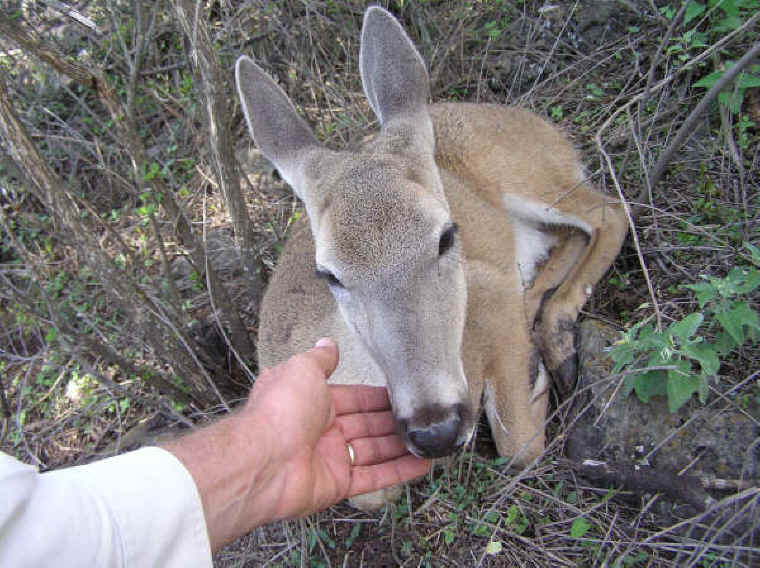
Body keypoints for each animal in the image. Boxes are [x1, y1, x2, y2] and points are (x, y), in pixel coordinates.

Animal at [235, 6, 627, 510]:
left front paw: (531, 383)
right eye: (330, 274)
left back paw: (555, 346)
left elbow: (518, 444)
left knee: (609, 212)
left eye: (445, 236)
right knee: (570, 238)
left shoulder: (487, 286)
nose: (435, 429)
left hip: (529, 173)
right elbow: (371, 496)